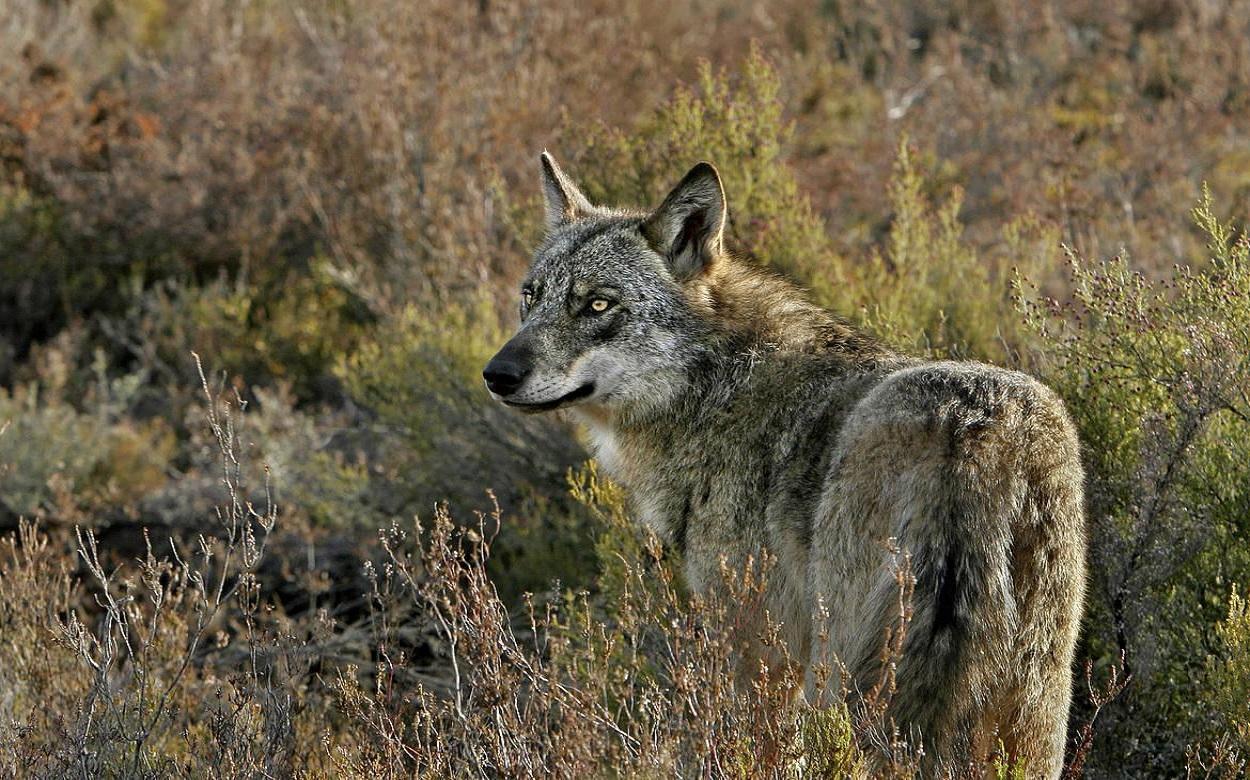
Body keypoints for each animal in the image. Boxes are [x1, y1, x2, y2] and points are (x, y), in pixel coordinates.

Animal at [482, 150, 1090, 775]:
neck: (716, 388)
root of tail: (967, 429)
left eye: (598, 304)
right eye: (531, 296)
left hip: (844, 675)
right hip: (1034, 701)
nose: (497, 373)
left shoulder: (756, 648)